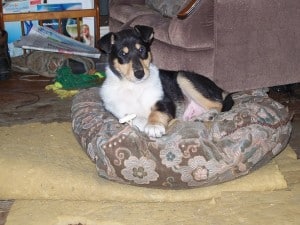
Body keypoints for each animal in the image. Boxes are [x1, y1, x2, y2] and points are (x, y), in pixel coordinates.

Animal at [97, 24, 233, 137]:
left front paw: (154, 126)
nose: (140, 74)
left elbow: (157, 112)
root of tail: (219, 89)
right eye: (122, 54)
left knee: (218, 104)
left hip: (182, 77)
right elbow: (136, 119)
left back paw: (208, 115)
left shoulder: (165, 101)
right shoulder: (121, 112)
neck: (134, 87)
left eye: (141, 50)